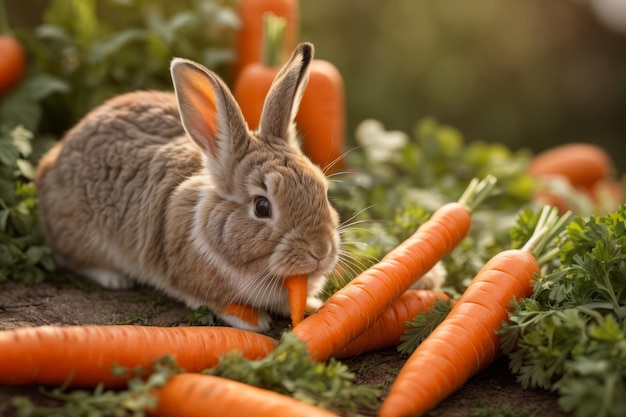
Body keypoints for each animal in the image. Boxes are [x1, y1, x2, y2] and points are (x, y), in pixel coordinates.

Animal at [36, 40, 338, 330]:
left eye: (323, 191)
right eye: (261, 207)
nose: (320, 252)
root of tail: (52, 163)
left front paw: (311, 304)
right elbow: (220, 303)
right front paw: (254, 320)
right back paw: (114, 278)